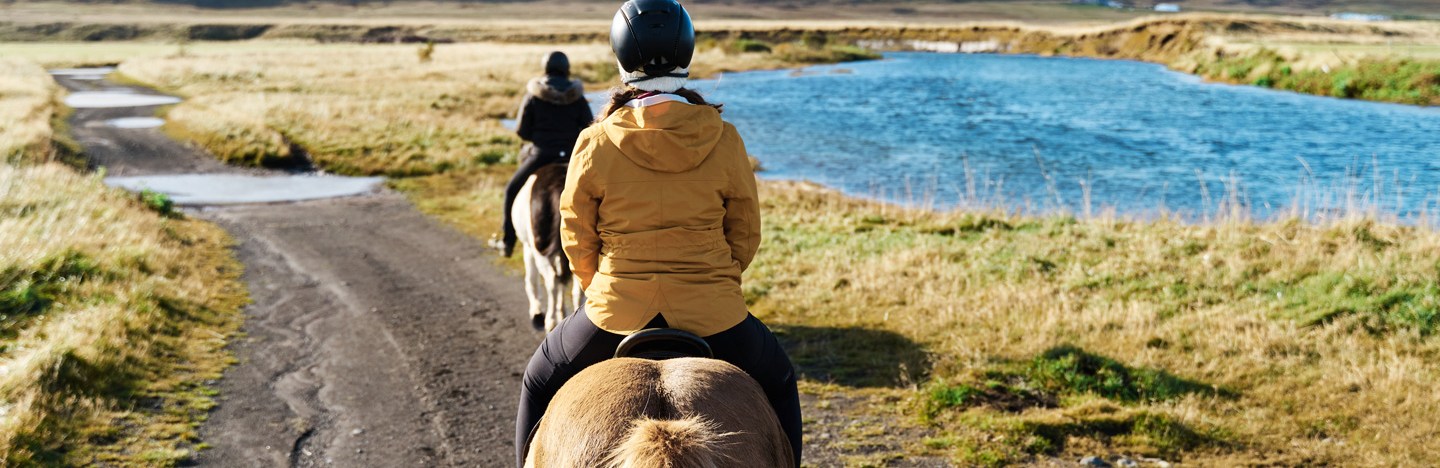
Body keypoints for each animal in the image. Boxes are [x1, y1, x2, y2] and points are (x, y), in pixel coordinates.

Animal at [512, 163, 581, 332]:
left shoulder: (528, 248)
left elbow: (531, 280)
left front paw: (536, 312)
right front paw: (562, 312)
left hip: (539, 251)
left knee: (551, 281)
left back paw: (550, 321)